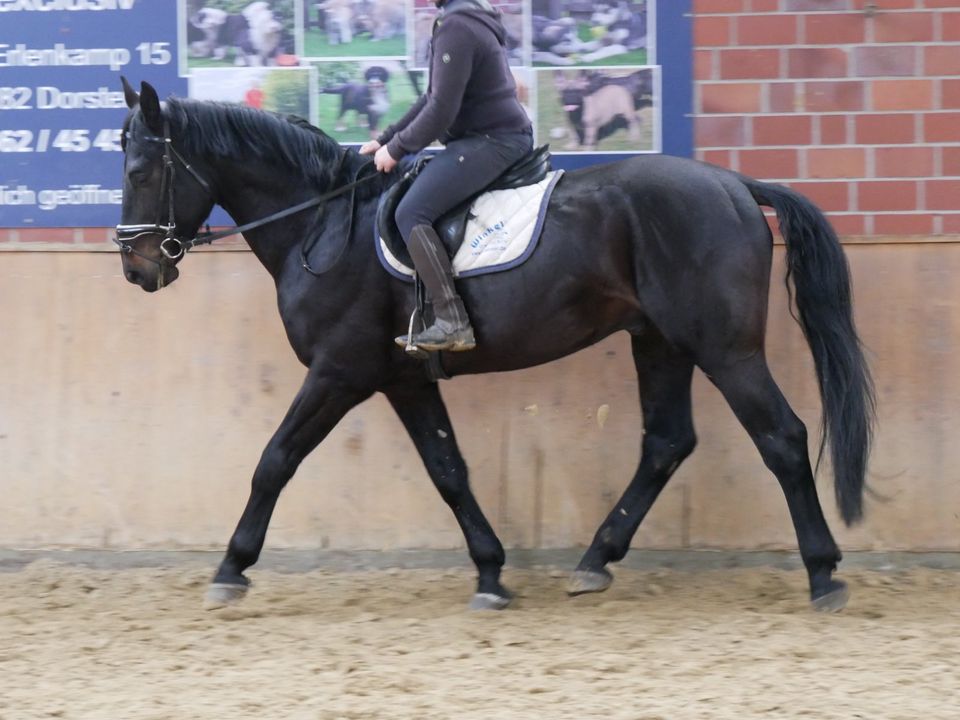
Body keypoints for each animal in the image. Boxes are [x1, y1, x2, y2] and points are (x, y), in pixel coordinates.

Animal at [116, 83, 872, 612]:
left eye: (141, 171)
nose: (138, 270)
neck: (323, 224)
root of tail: (733, 183)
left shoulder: (340, 372)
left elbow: (274, 462)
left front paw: (230, 568)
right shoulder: (403, 379)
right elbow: (449, 470)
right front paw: (490, 572)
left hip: (724, 348)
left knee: (781, 436)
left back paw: (823, 573)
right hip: (659, 342)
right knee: (666, 442)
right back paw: (595, 561)